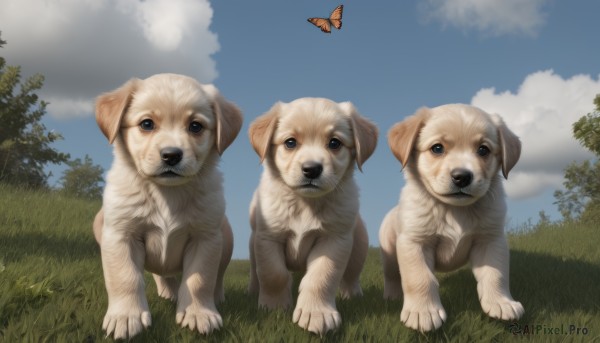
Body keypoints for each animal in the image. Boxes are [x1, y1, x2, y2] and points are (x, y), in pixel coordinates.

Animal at [91, 74, 241, 340]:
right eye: (147, 124)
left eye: (195, 126)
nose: (171, 155)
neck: (167, 193)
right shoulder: (120, 234)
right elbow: (125, 277)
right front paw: (126, 316)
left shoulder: (205, 237)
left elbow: (200, 279)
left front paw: (198, 313)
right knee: (160, 274)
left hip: (226, 235)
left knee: (218, 275)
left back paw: (215, 298)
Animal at [246, 98, 378, 334]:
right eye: (290, 143)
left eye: (334, 143)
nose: (311, 169)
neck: (304, 203)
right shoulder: (268, 237)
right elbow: (273, 274)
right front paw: (274, 307)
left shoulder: (334, 240)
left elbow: (321, 277)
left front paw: (316, 314)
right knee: (256, 271)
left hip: (359, 245)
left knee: (351, 276)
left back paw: (353, 295)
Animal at [382, 104, 524, 334]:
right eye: (437, 148)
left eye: (483, 150)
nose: (462, 177)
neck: (454, 210)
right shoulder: (414, 242)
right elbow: (419, 278)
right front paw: (423, 313)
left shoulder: (491, 240)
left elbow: (496, 274)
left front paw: (501, 303)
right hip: (388, 253)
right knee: (393, 276)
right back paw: (392, 296)